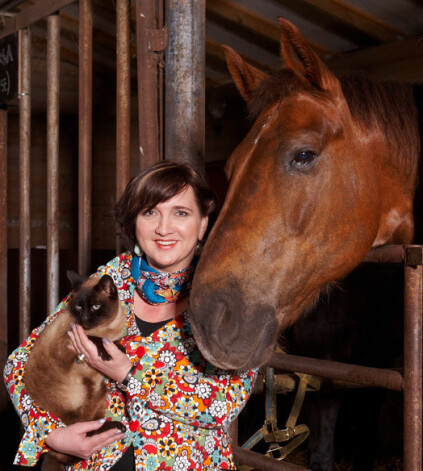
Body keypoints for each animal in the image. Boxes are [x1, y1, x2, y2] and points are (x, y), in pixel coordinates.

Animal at [25, 272, 126, 466]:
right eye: (79, 307)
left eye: (95, 307)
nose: (85, 319)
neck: (108, 328)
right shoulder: (71, 340)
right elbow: (94, 339)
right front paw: (108, 351)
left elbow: (114, 342)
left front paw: (118, 348)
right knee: (85, 430)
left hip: (99, 392)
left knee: (92, 423)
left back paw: (114, 426)